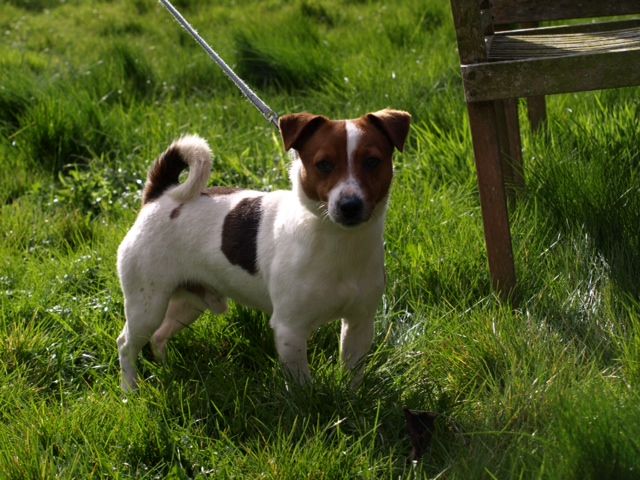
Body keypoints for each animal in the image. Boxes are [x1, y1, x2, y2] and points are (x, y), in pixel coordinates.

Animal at [116, 109, 410, 390]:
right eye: (324, 164)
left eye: (372, 161)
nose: (350, 205)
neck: (338, 244)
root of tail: (159, 196)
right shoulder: (290, 329)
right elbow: (303, 385)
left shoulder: (359, 323)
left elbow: (353, 372)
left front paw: (352, 397)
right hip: (147, 306)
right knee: (126, 344)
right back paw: (130, 389)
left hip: (189, 303)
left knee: (158, 336)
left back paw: (166, 368)